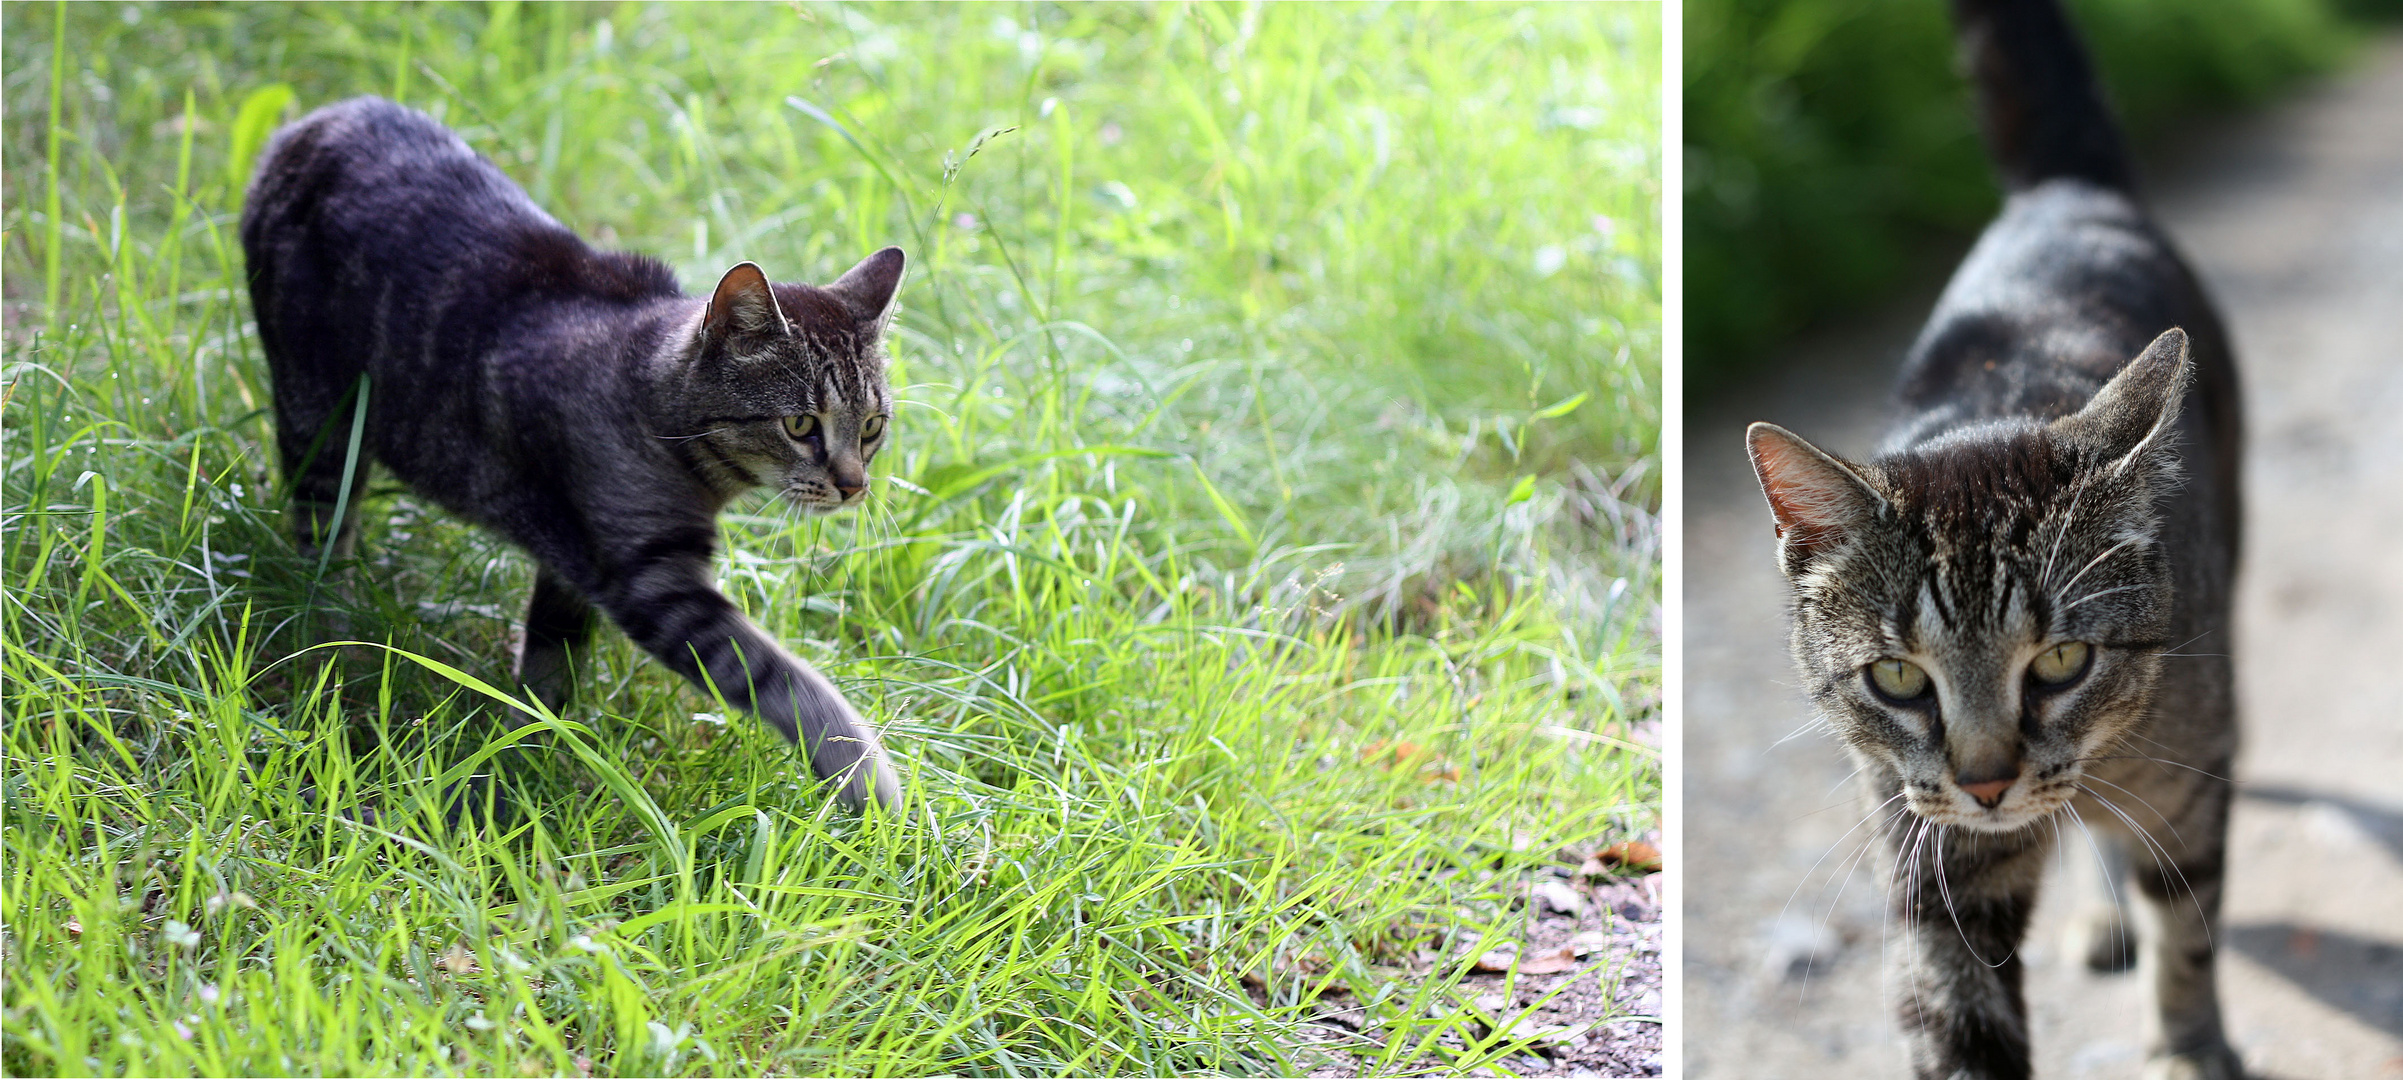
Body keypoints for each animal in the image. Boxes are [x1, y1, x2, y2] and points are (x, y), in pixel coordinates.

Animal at [243, 96, 903, 808]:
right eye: (801, 423)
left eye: (871, 427)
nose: (854, 485)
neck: (649, 399)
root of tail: (314, 122)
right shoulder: (650, 579)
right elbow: (783, 678)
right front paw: (873, 784)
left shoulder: (573, 564)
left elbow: (549, 667)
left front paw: (527, 756)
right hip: (319, 418)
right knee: (321, 536)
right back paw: (332, 633)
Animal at [1739, 2, 2239, 1077]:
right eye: (1896, 678)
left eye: (2060, 661)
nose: (1986, 783)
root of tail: (2063, 191)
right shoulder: (1934, 862)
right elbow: (1959, 1019)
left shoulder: (2193, 783)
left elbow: (2188, 933)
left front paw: (2188, 1044)